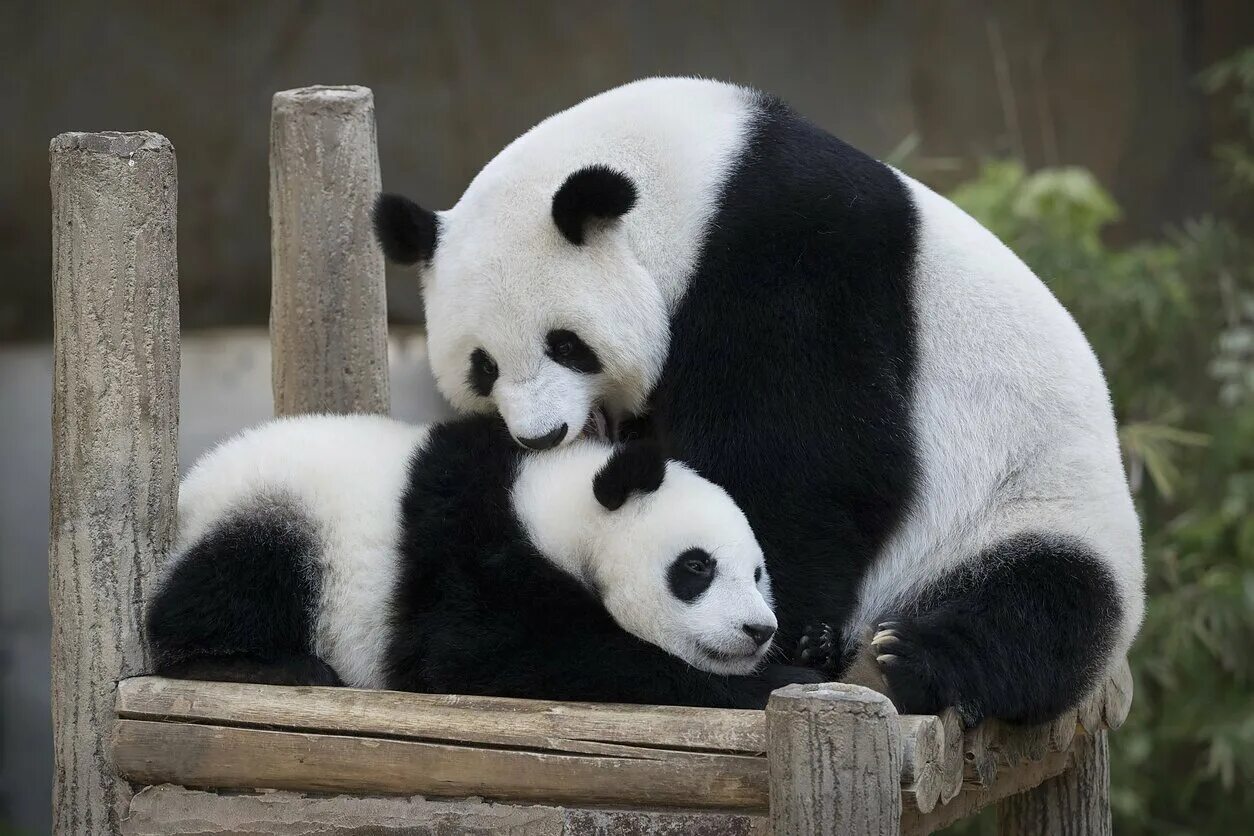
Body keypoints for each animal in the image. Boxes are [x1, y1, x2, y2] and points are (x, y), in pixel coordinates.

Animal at [145, 412, 822, 708]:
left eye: (758, 573)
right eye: (696, 568)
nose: (758, 630)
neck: (554, 501)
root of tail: (187, 492)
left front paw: (811, 649)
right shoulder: (473, 553)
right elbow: (491, 655)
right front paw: (778, 680)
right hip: (281, 512)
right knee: (234, 583)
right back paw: (267, 665)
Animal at [373, 77, 1144, 726]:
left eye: (566, 344)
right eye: (483, 366)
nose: (540, 436)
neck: (698, 178)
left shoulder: (795, 258)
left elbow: (805, 455)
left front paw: (786, 627)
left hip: (1027, 506)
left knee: (1041, 606)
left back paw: (909, 661)